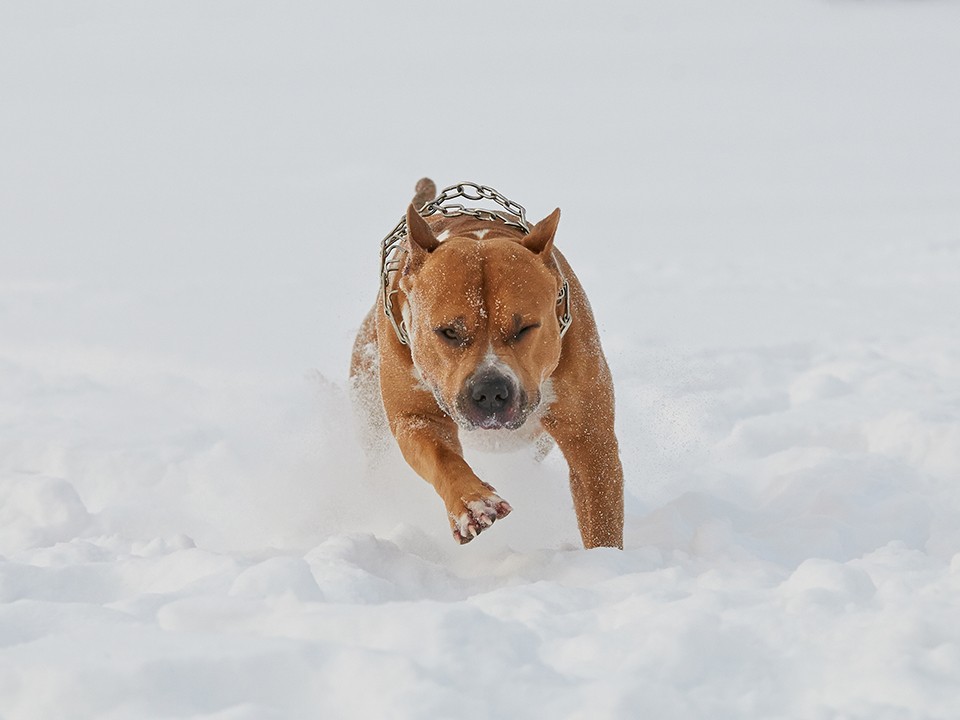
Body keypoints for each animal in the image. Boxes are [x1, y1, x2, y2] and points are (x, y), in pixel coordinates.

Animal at [348, 179, 628, 544]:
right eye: (448, 332)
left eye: (525, 327)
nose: (491, 391)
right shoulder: (415, 417)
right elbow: (442, 457)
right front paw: (473, 504)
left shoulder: (589, 436)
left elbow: (600, 511)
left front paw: (604, 556)